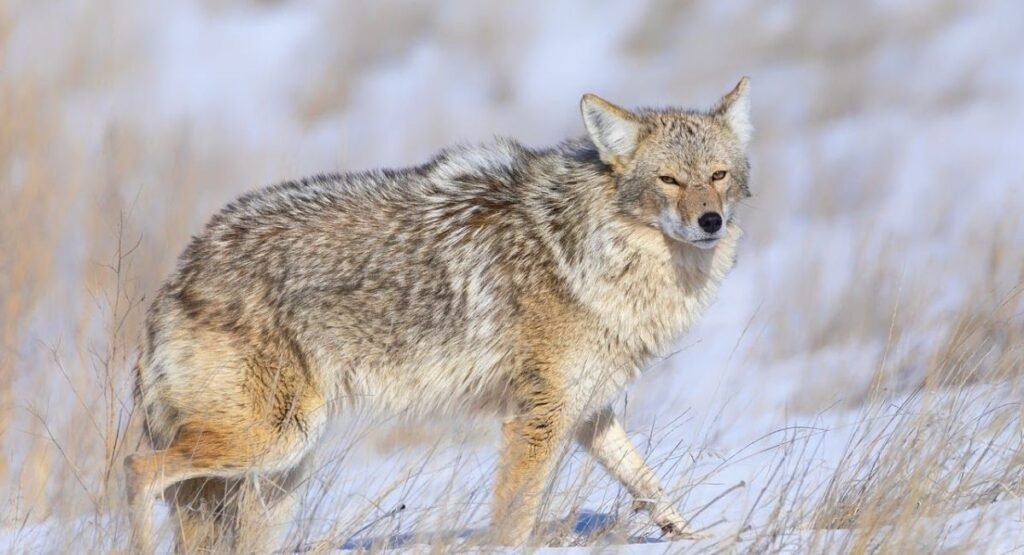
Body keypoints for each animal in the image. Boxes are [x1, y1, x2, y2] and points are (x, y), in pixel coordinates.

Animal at [125, 78, 753, 553]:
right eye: (669, 180)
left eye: (717, 175)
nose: (711, 221)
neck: (591, 251)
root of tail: (181, 272)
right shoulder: (535, 418)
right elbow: (514, 521)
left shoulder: (587, 409)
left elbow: (650, 485)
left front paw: (693, 537)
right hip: (269, 439)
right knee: (137, 467)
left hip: (282, 470)